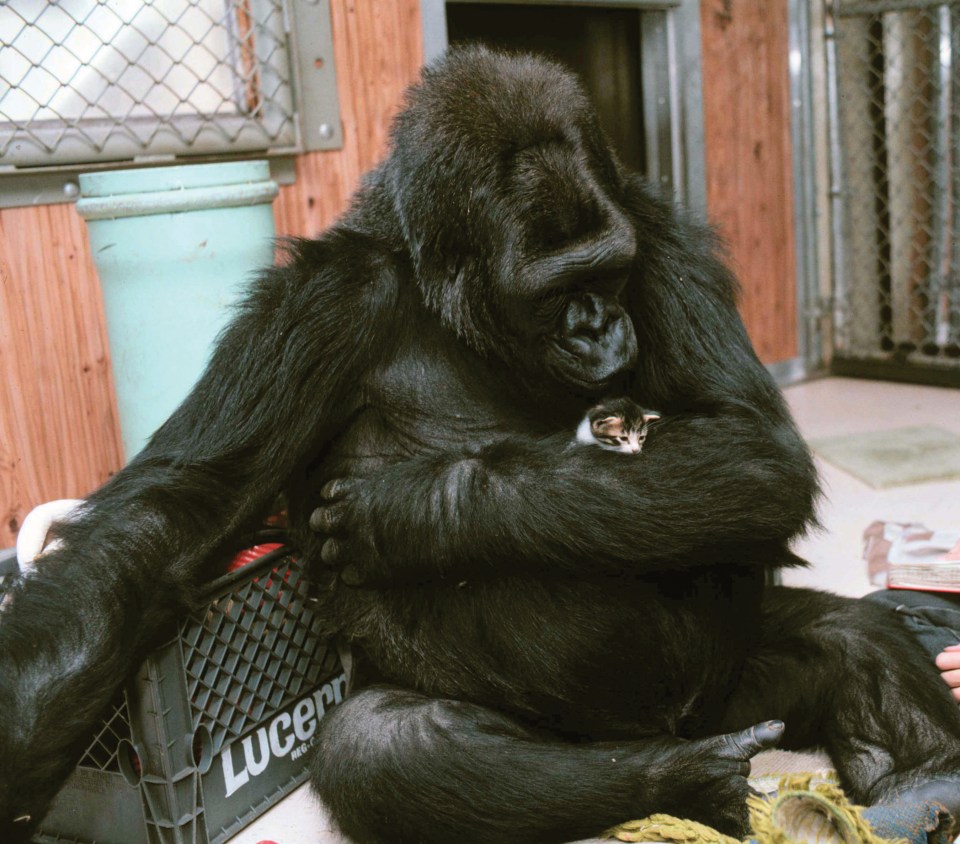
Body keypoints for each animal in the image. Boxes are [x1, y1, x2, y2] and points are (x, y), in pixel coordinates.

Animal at [1, 47, 960, 844]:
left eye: (611, 270)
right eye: (556, 291)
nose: (600, 326)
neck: (448, 301)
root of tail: (674, 728)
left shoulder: (657, 232)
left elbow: (752, 445)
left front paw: (417, 513)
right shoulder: (317, 303)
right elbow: (175, 510)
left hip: (728, 689)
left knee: (851, 632)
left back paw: (915, 779)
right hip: (606, 730)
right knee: (391, 743)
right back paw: (678, 781)